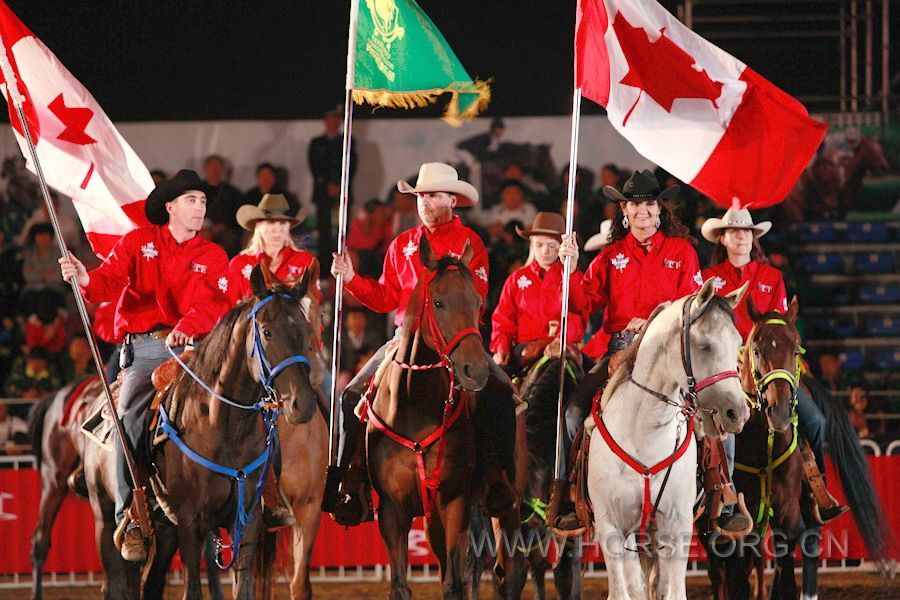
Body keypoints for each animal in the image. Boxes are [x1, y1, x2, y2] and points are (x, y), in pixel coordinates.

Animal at [588, 278, 748, 596]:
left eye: (738, 343)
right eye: (705, 346)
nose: (737, 412)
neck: (644, 433)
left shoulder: (676, 526)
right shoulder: (611, 527)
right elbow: (624, 591)